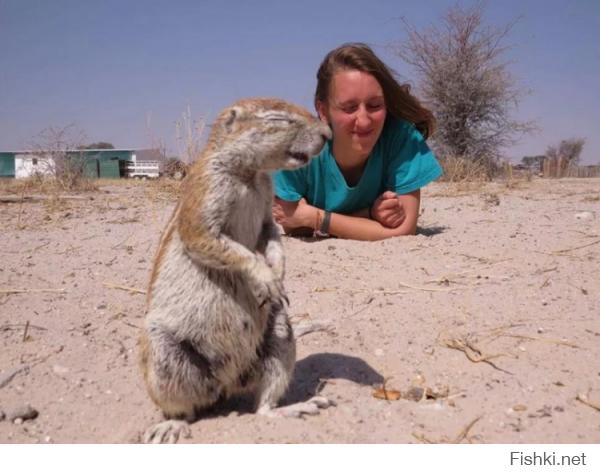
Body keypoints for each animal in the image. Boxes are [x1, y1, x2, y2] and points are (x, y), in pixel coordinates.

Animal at [139, 98, 332, 442]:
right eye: (279, 119)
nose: (328, 134)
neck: (250, 175)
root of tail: (226, 385)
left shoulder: (268, 207)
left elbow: (271, 235)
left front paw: (278, 276)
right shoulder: (206, 193)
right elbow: (213, 241)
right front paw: (266, 278)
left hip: (279, 335)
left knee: (262, 406)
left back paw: (293, 408)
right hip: (163, 354)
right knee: (186, 410)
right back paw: (171, 426)